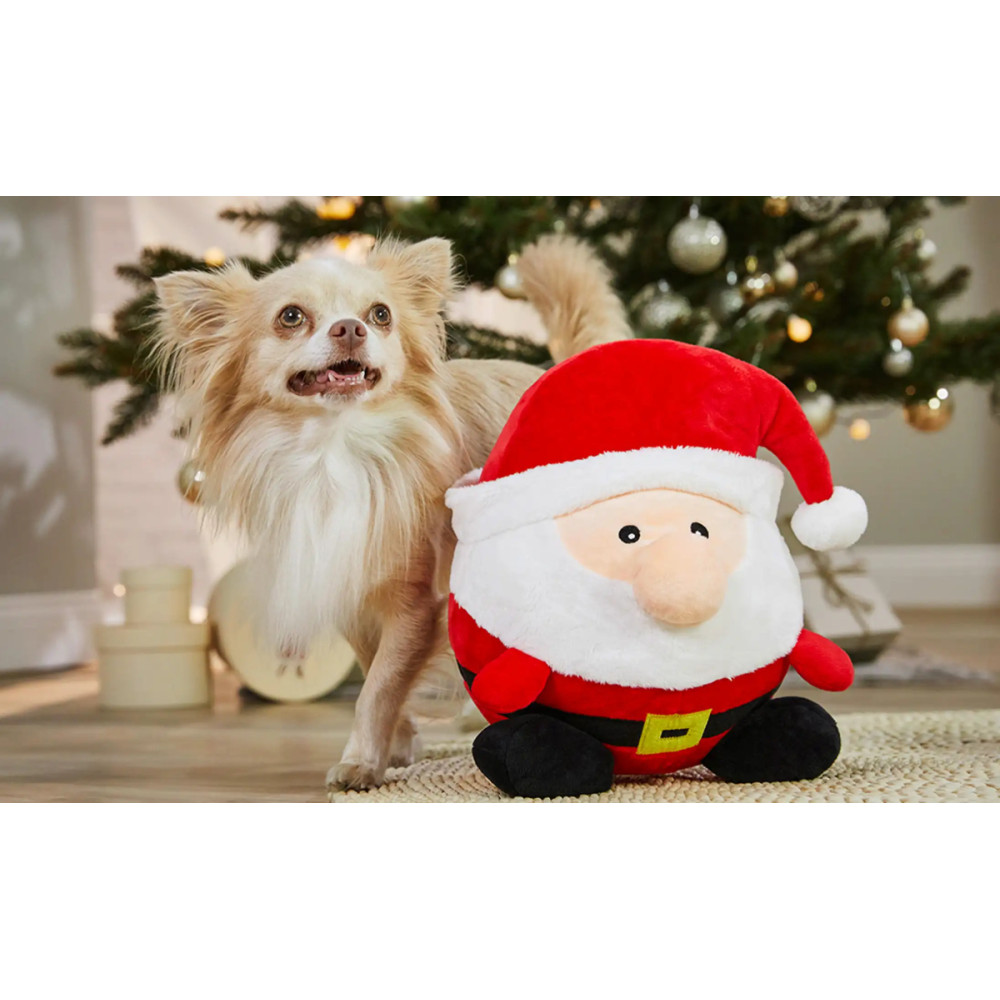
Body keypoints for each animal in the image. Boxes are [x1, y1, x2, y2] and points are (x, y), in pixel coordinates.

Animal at [154, 233, 630, 790]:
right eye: (291, 316)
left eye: (381, 314)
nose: (350, 327)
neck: (334, 452)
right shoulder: (351, 588)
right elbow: (375, 671)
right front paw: (397, 747)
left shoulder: (414, 601)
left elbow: (378, 685)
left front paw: (362, 759)